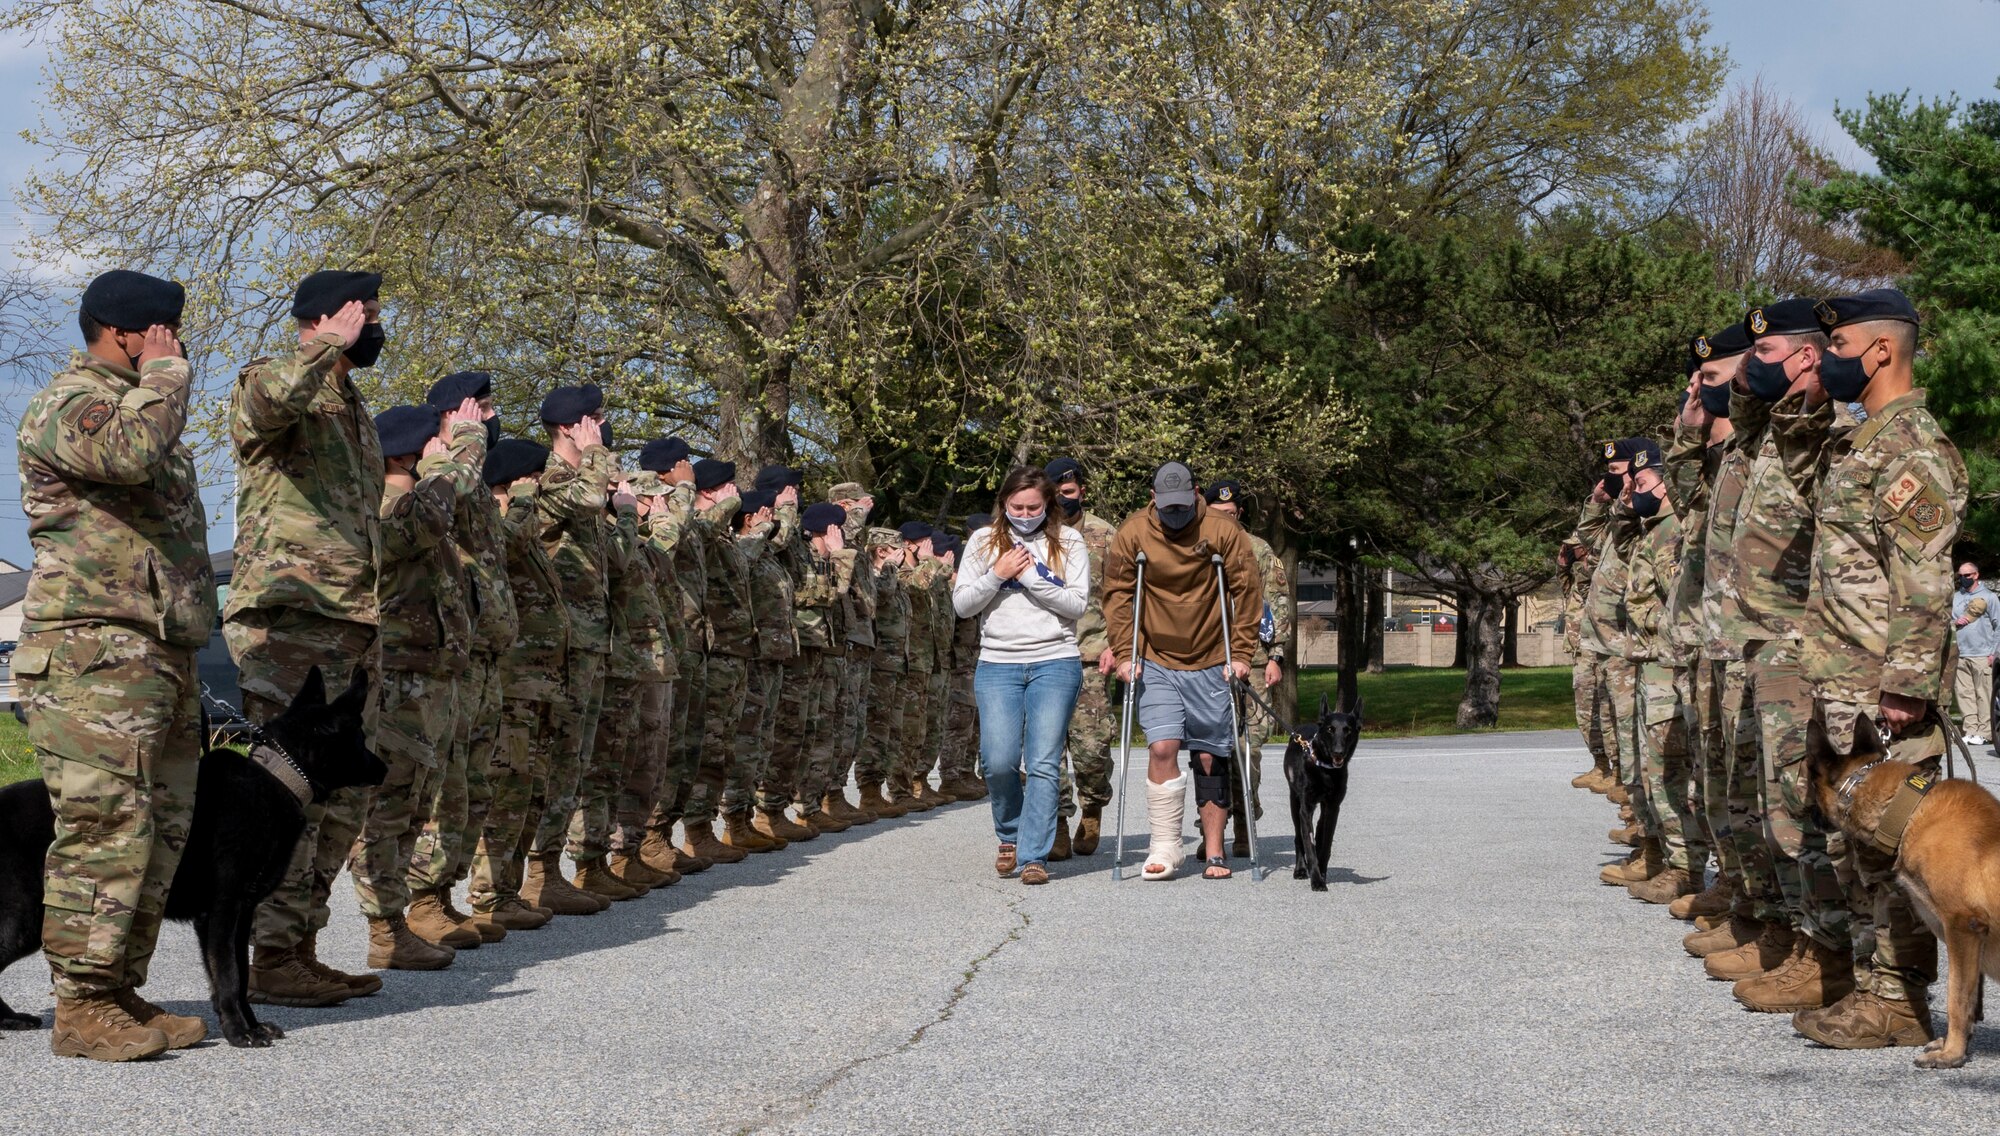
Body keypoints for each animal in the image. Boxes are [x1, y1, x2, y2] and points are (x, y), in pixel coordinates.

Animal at [0, 664, 382, 1048]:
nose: (385, 766)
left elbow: (240, 977)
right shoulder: (220, 912)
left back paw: (11, 1019)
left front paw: (252, 1024)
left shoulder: (241, 915)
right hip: (27, 918)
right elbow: (228, 975)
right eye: (362, 739)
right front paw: (238, 1031)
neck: (278, 778)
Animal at [1288, 688, 1352, 892]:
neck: (1325, 769)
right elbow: (1308, 842)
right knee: (1299, 837)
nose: (1339, 752)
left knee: (1319, 827)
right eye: (1330, 729)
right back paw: (1301, 869)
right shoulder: (1306, 807)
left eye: (1348, 730)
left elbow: (1325, 844)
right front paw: (1316, 879)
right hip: (1294, 801)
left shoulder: (1333, 807)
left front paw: (1321, 873)